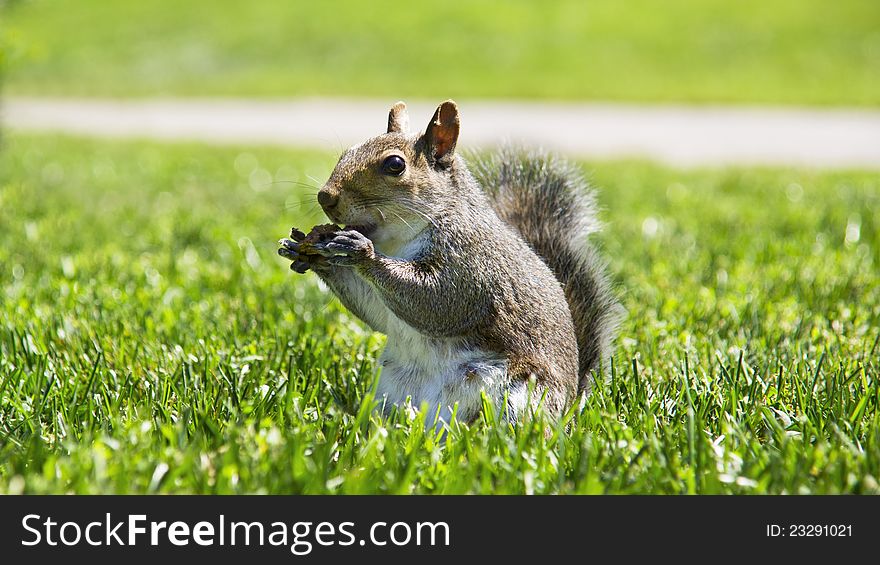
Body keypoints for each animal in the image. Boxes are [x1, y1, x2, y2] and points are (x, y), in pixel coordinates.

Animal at [278, 100, 624, 424]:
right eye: (348, 151)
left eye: (395, 165)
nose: (325, 197)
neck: (397, 241)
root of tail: (569, 412)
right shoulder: (386, 305)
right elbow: (376, 309)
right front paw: (307, 252)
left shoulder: (471, 266)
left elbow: (439, 301)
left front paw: (362, 252)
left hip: (520, 397)